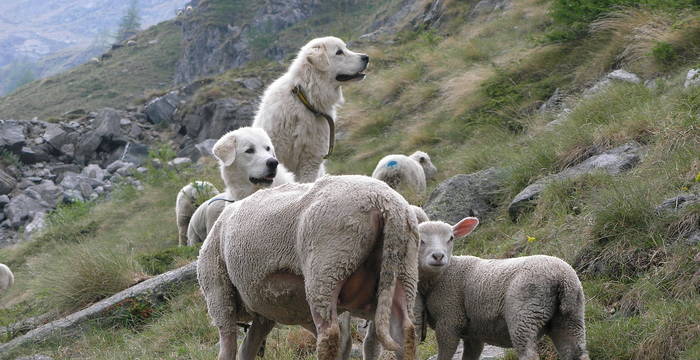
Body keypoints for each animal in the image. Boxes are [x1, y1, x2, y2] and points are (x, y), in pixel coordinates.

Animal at [197, 175, 418, 360]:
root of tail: (384, 203)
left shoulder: (218, 290)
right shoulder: (267, 312)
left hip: (326, 268)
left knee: (329, 334)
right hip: (403, 269)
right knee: (404, 329)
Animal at [366, 217, 592, 360]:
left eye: (451, 238)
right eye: (420, 240)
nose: (438, 256)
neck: (440, 278)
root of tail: (562, 278)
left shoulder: (450, 319)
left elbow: (445, 355)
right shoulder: (472, 333)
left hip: (525, 314)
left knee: (529, 354)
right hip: (571, 317)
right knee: (577, 353)